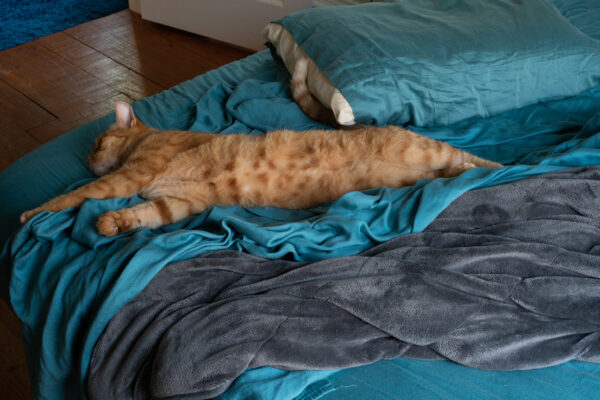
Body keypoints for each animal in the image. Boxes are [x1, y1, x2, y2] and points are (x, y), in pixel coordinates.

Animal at [18, 101, 502, 236]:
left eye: (97, 143)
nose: (85, 159)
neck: (148, 137)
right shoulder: (176, 204)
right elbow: (139, 215)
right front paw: (113, 223)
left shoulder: (130, 176)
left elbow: (74, 196)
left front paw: (32, 212)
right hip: (416, 170)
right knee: (452, 170)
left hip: (424, 151)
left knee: (471, 159)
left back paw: (505, 164)